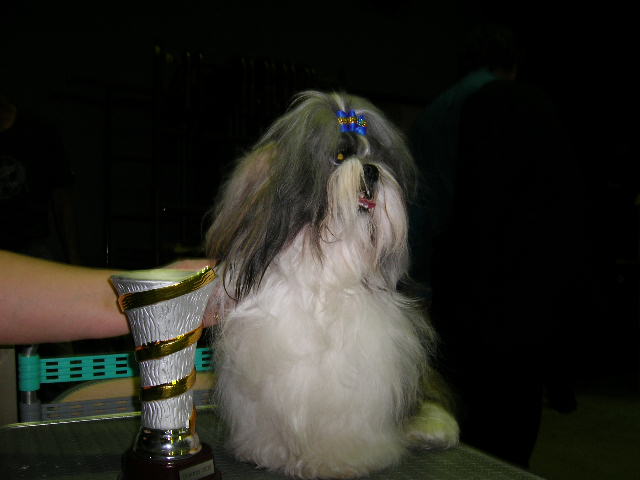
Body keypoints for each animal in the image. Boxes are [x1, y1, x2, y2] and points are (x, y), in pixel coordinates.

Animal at [205, 90, 459, 478]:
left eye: (377, 157)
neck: (330, 263)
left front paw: (339, 459)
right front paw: (268, 451)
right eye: (340, 157)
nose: (371, 170)